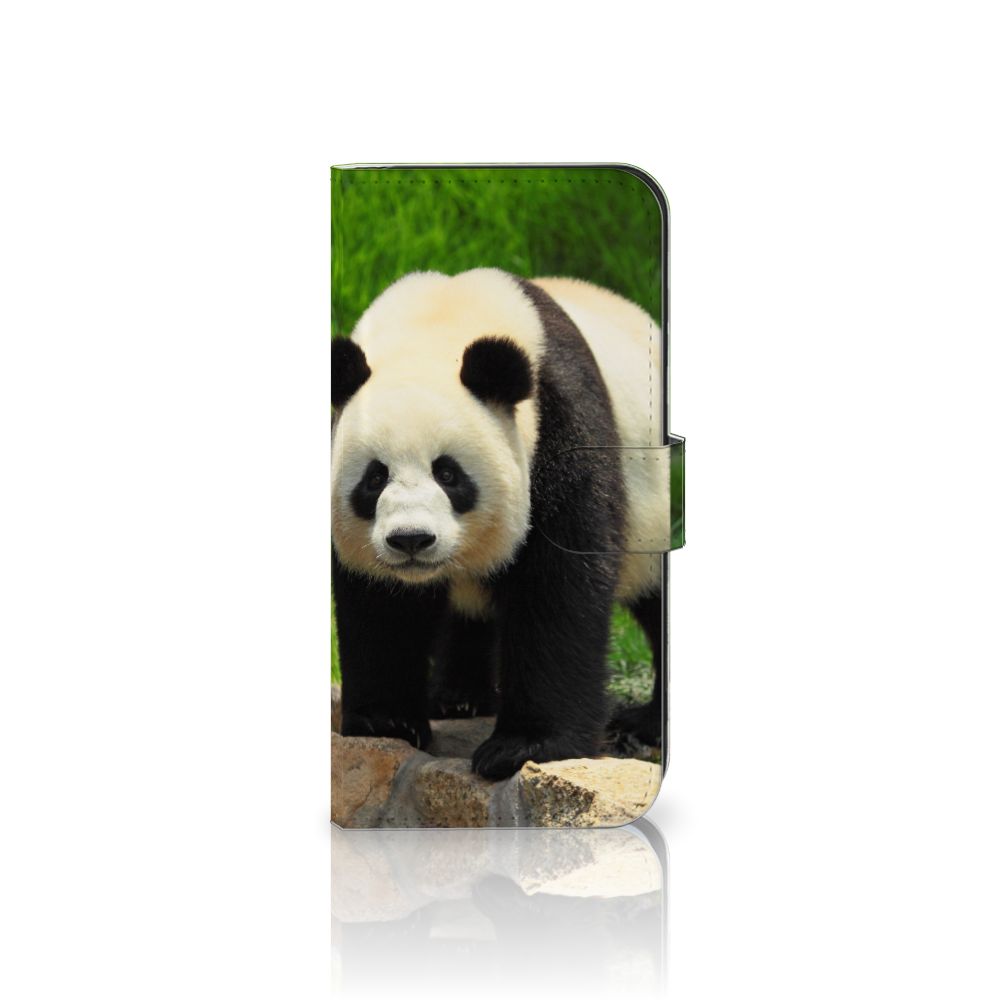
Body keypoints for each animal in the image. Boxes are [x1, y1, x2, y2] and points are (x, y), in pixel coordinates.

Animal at [331, 268, 666, 780]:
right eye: (374, 478)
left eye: (448, 474)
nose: (411, 540)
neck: (436, 325)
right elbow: (379, 604)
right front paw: (386, 722)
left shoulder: (559, 426)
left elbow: (558, 585)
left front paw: (524, 747)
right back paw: (457, 697)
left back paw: (646, 724)